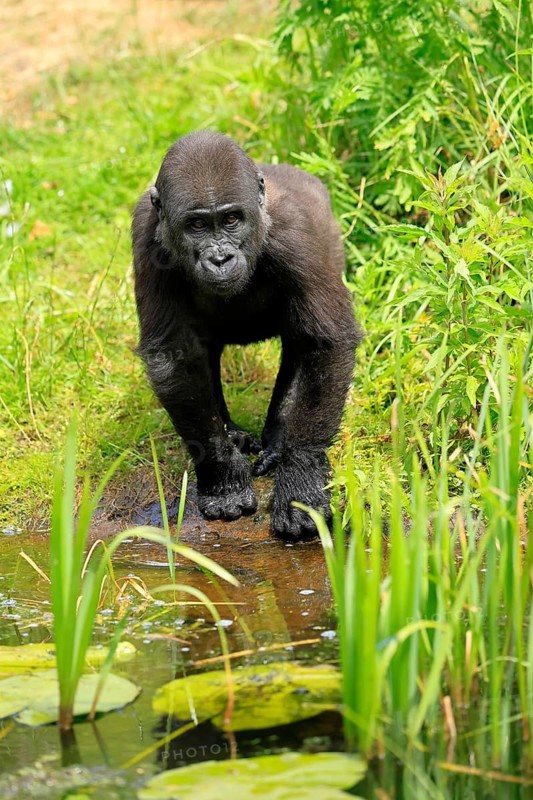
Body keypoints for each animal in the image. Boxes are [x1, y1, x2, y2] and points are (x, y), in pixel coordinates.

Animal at [132, 131, 362, 540]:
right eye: (196, 226)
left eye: (231, 219)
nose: (220, 258)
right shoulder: (147, 234)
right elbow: (175, 356)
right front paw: (223, 472)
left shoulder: (295, 233)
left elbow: (325, 343)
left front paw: (300, 478)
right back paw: (232, 434)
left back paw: (280, 440)